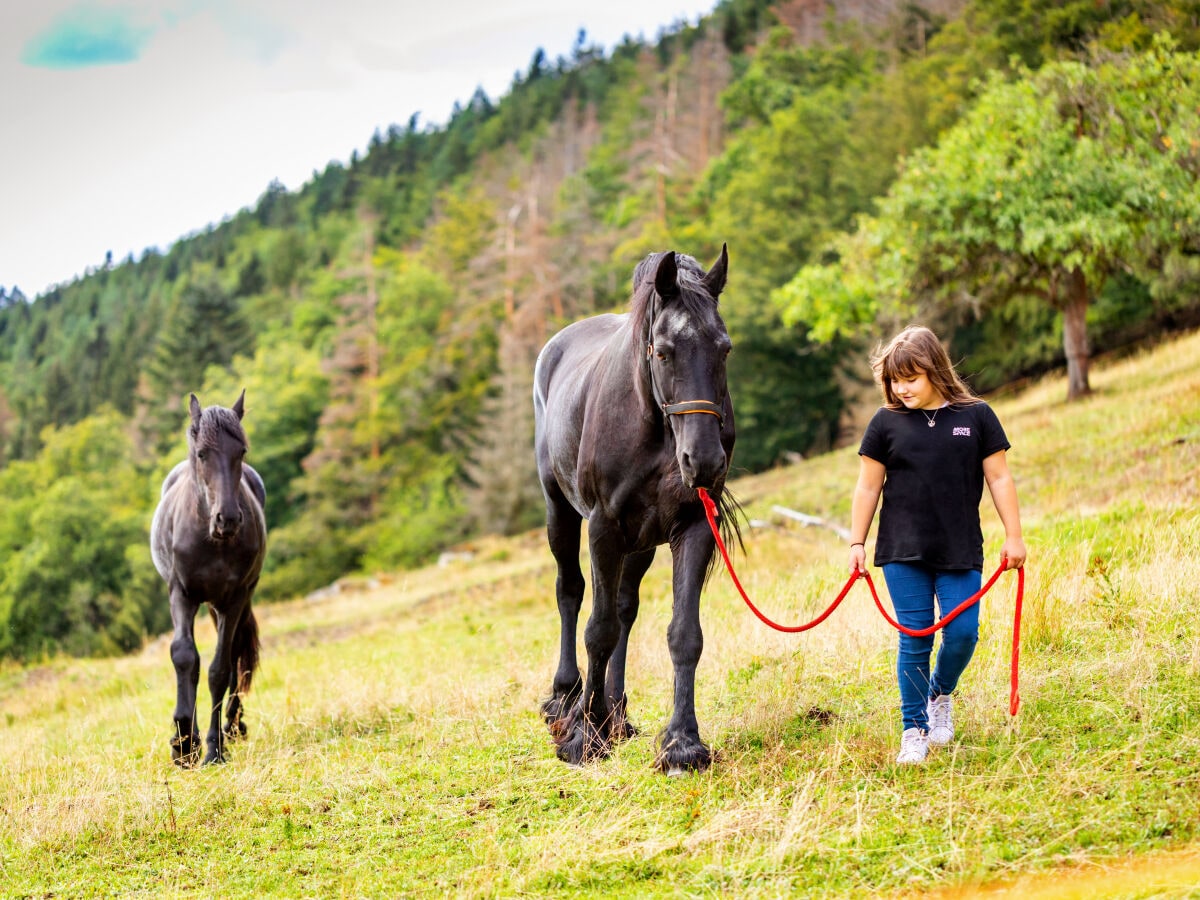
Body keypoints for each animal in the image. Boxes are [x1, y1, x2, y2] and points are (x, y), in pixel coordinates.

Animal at [149, 391, 265, 763]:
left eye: (241, 451)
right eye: (202, 454)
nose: (227, 519)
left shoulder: (234, 599)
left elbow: (219, 669)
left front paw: (214, 748)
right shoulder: (182, 594)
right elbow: (185, 657)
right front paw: (184, 742)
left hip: (228, 603)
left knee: (234, 657)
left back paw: (232, 726)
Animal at [532, 247, 734, 777]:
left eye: (724, 349)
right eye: (662, 351)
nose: (704, 461)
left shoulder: (692, 525)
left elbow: (683, 634)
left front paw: (682, 743)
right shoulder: (603, 527)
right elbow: (596, 630)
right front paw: (583, 737)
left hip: (641, 540)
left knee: (624, 608)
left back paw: (615, 712)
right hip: (561, 512)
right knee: (570, 592)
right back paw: (566, 699)